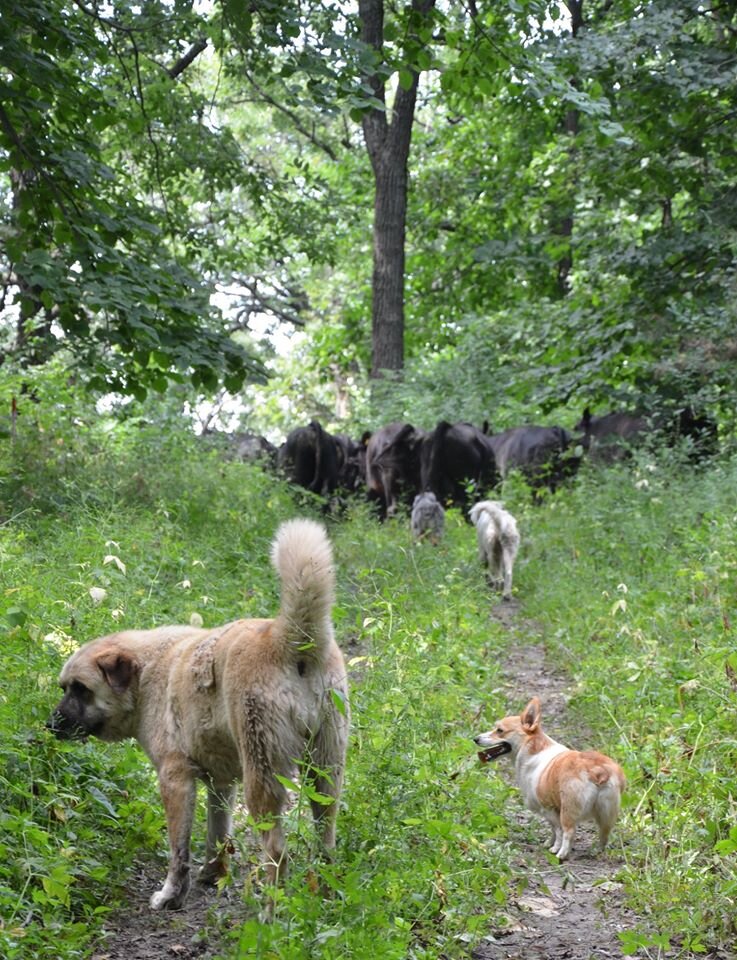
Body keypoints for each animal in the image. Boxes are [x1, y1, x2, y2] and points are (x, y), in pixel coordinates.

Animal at [47, 520, 350, 912]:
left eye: (81, 689)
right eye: (64, 688)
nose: (50, 725)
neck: (146, 674)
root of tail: (289, 640)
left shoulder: (175, 780)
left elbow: (179, 851)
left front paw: (171, 895)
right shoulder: (221, 784)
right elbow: (217, 836)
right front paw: (213, 875)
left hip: (263, 777)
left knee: (277, 852)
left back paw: (269, 914)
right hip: (326, 774)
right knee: (325, 842)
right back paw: (323, 901)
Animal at [474, 692, 624, 860]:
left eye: (499, 730)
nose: (475, 738)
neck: (531, 747)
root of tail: (597, 769)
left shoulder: (549, 810)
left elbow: (558, 831)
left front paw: (555, 848)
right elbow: (553, 831)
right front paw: (549, 843)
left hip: (568, 810)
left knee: (569, 832)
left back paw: (562, 853)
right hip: (606, 814)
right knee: (604, 834)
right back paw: (597, 852)